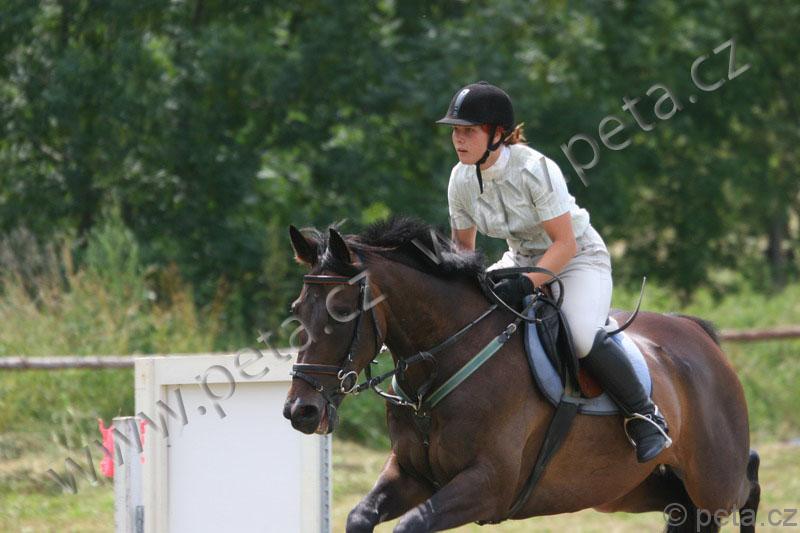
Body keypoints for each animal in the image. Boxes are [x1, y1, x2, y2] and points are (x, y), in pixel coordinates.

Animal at [283, 217, 760, 533]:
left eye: (342, 312)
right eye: (297, 310)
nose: (300, 411)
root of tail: (697, 334)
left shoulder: (487, 485)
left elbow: (411, 525)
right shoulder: (411, 474)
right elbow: (360, 515)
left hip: (713, 481)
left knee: (747, 485)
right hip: (629, 488)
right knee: (683, 509)